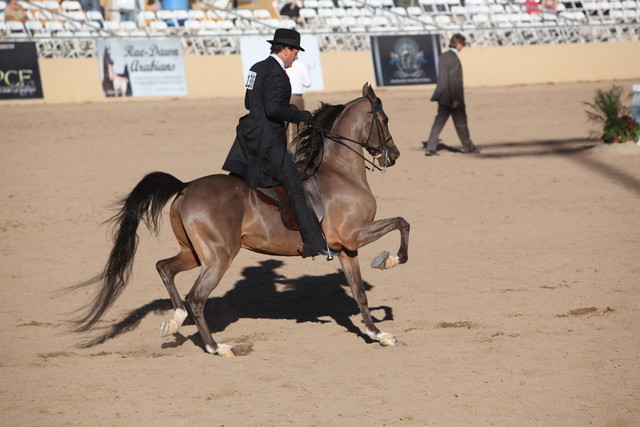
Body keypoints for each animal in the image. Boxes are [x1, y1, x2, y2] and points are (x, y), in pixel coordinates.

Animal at [72, 83, 410, 356]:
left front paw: (377, 334)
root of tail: (186, 186)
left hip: (195, 253)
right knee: (196, 298)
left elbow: (359, 293)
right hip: (220, 257)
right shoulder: (355, 235)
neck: (341, 174)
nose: (394, 155)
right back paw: (217, 347)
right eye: (385, 120)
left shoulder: (346, 249)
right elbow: (402, 223)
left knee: (164, 268)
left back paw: (175, 320)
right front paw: (388, 260)